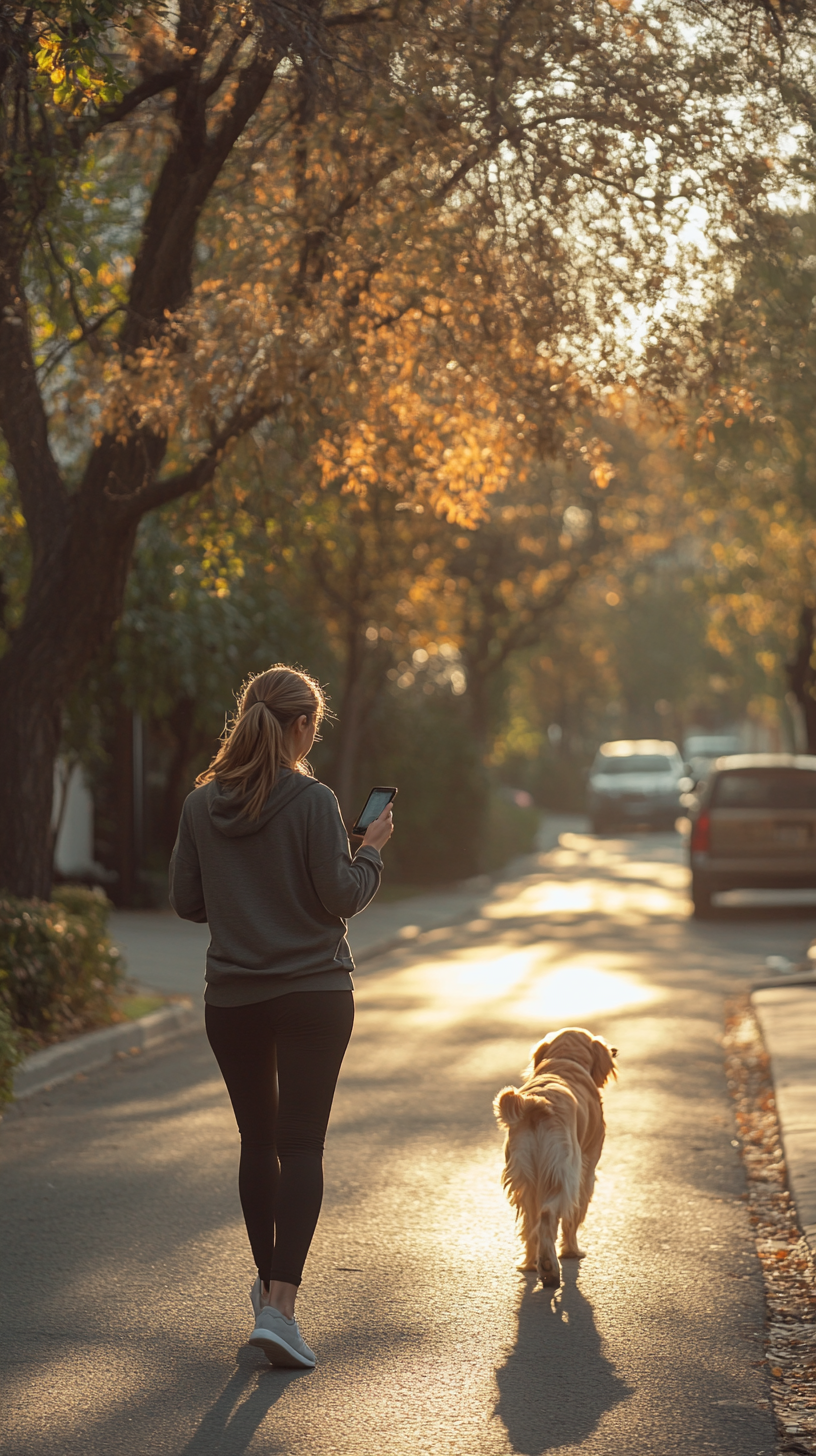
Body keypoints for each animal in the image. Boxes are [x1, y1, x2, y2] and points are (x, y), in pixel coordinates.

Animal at [489, 1025, 617, 1287]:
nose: (615, 1051)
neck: (563, 1061)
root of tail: (536, 1103)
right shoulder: (587, 1169)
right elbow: (573, 1217)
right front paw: (571, 1251)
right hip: (564, 1172)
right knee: (548, 1215)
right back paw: (550, 1268)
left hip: (525, 1177)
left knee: (531, 1223)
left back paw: (531, 1264)